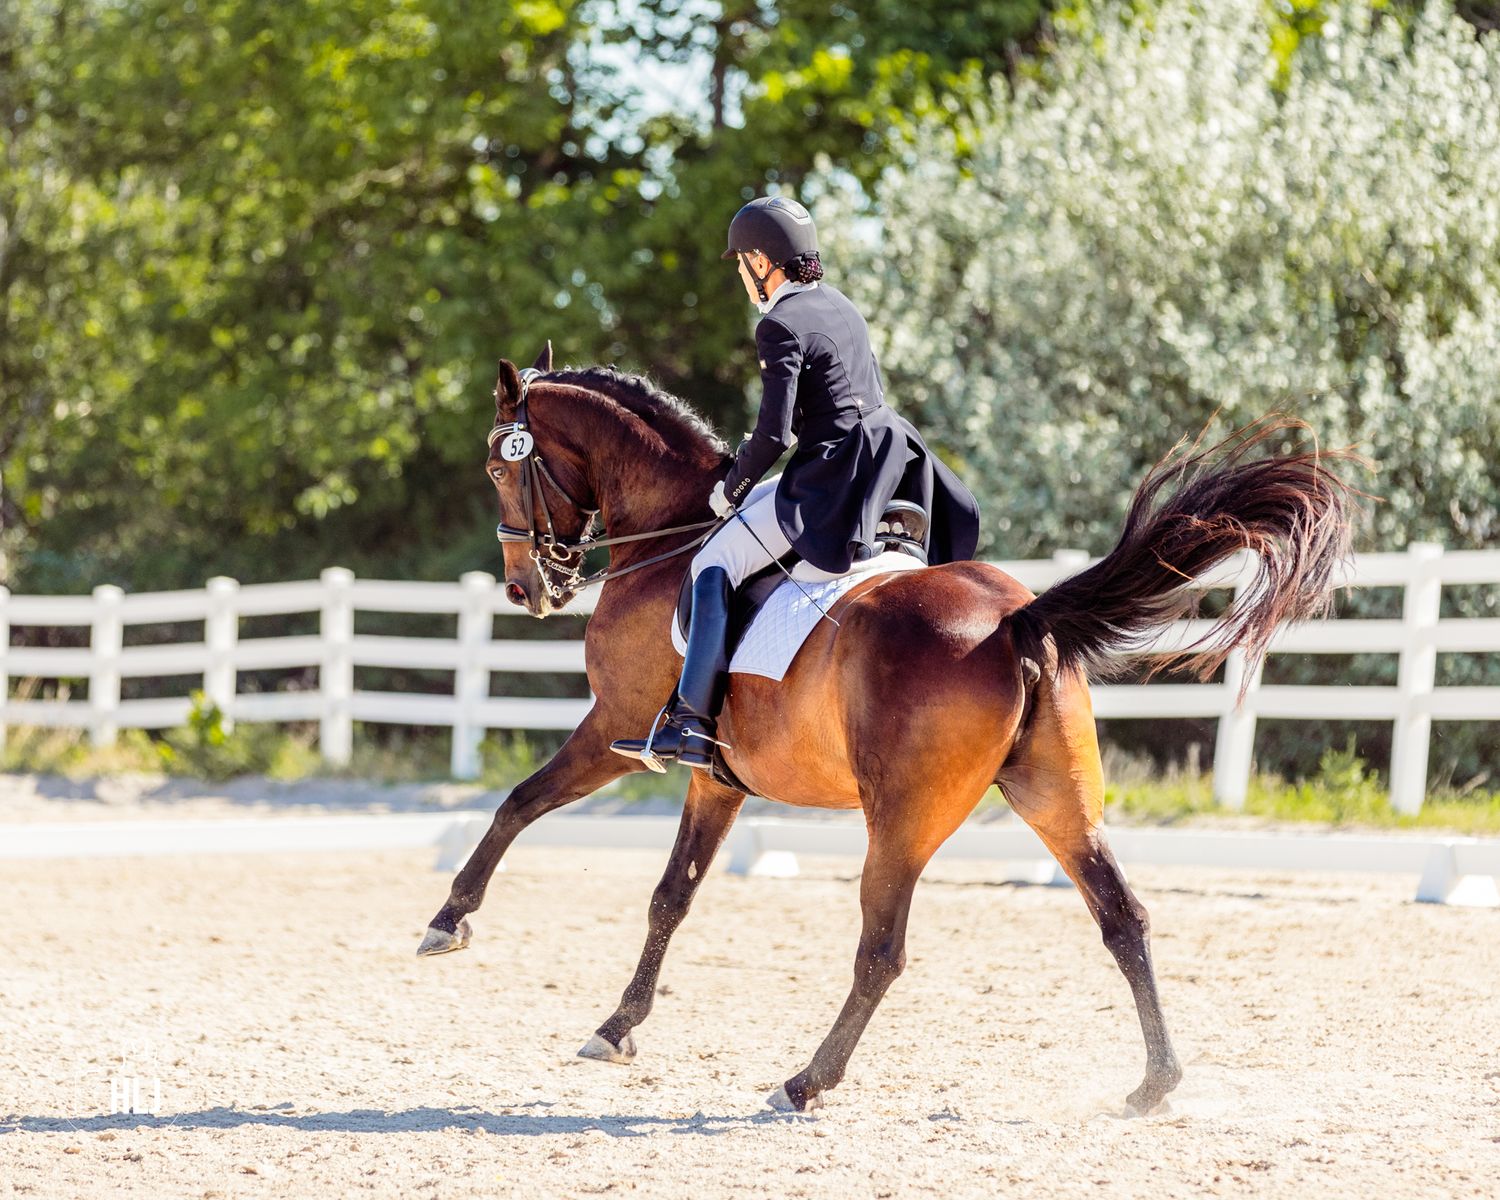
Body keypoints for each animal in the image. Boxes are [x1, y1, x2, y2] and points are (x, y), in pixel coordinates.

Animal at [417, 344, 1354, 1114]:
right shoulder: (716, 778)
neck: (673, 538)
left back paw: (804, 1081)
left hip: (901, 818)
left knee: (882, 951)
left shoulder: (614, 726)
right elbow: (670, 897)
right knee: (1123, 918)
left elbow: (518, 802)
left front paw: (448, 920)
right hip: (1056, 797)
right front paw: (617, 1026)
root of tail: (1014, 618)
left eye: (499, 467)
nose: (526, 588)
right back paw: (1155, 1083)